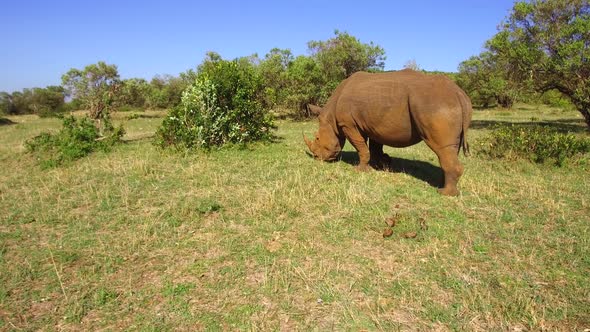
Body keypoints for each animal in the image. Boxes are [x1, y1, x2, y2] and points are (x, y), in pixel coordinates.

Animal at [308, 68, 474, 196]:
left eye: (317, 139)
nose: (317, 158)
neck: (330, 116)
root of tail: (459, 93)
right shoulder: (373, 124)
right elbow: (374, 147)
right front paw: (382, 165)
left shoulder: (348, 124)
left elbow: (361, 146)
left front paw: (360, 170)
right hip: (444, 104)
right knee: (451, 150)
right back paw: (442, 184)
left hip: (435, 103)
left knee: (442, 148)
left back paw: (444, 193)